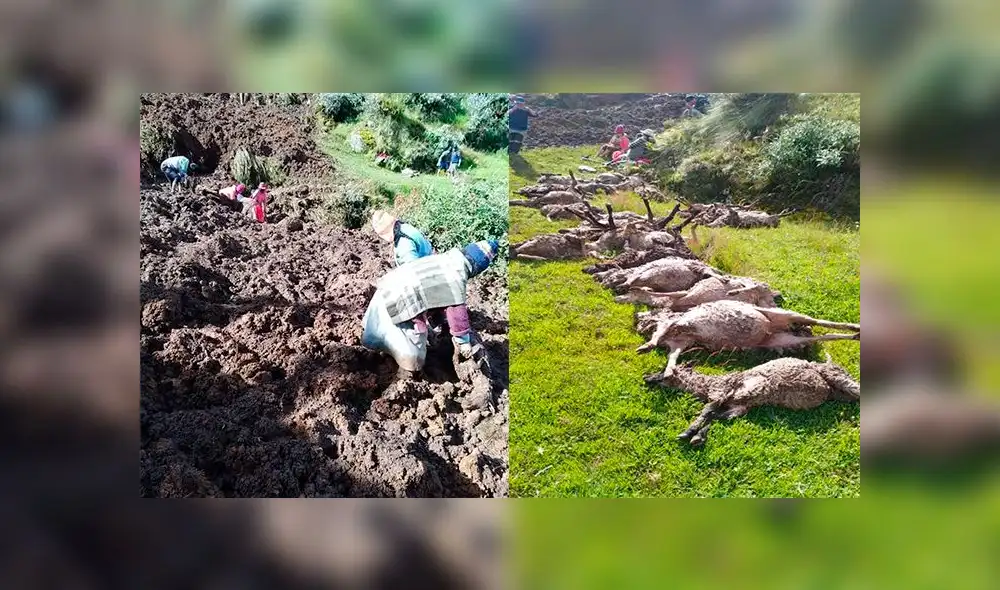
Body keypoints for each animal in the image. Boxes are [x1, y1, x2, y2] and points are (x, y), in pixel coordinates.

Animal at [636, 300, 861, 374]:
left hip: (781, 314)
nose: (637, 319)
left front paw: (646, 346)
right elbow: (672, 356)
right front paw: (668, 371)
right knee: (819, 336)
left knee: (817, 321)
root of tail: (771, 328)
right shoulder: (680, 342)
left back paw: (855, 326)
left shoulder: (673, 324)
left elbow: (659, 333)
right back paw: (856, 335)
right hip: (780, 340)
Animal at [644, 354, 860, 446]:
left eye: (664, 371)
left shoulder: (722, 391)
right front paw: (698, 437)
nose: (646, 378)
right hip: (837, 390)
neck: (707, 385)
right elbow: (719, 417)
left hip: (836, 375)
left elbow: (707, 412)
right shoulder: (739, 406)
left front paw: (688, 432)